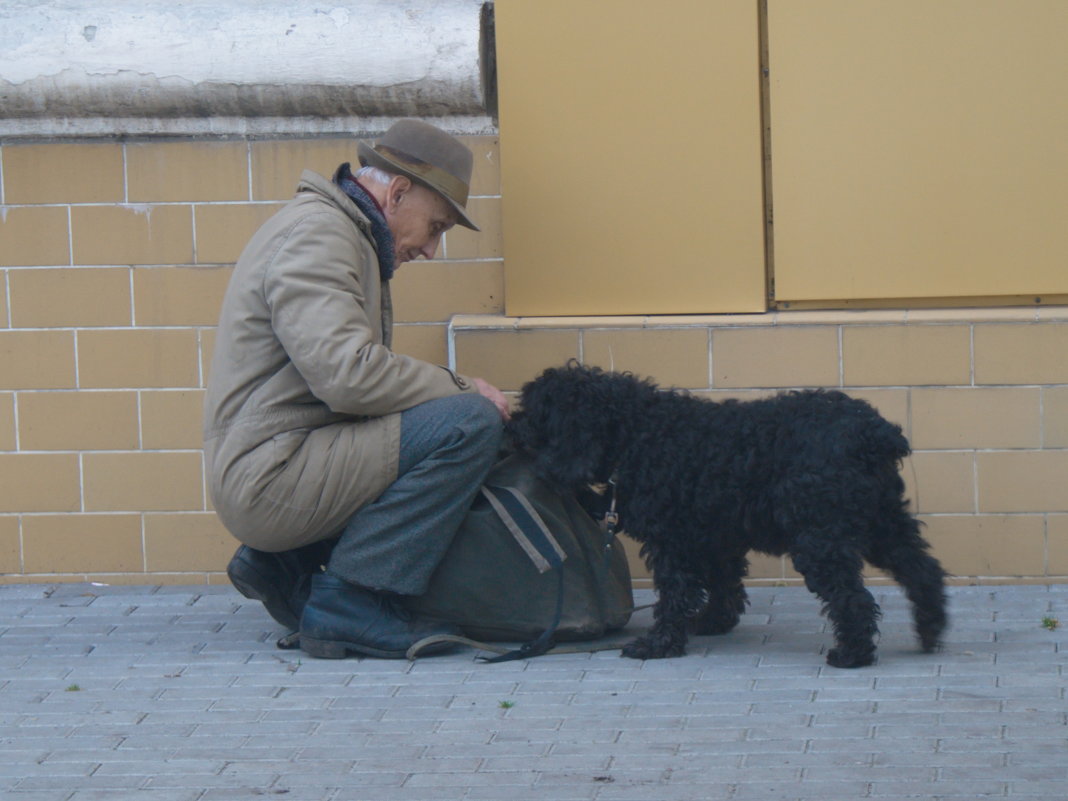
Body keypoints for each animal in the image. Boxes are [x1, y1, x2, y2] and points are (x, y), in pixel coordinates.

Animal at [504, 367, 948, 666]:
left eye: (535, 413)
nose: (508, 427)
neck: (638, 432)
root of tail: (874, 433)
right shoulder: (716, 539)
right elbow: (724, 586)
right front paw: (713, 621)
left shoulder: (673, 542)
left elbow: (675, 594)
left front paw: (659, 644)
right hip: (883, 524)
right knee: (922, 570)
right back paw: (930, 630)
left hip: (822, 539)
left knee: (853, 597)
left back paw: (852, 653)